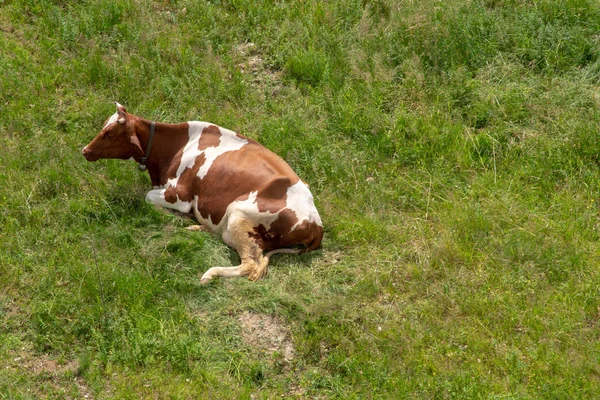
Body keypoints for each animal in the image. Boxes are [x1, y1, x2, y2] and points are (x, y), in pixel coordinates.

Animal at [83, 103, 324, 284]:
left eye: (109, 134)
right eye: (104, 126)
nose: (85, 150)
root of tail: (316, 222)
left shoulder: (179, 195)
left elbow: (147, 197)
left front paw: (177, 216)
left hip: (238, 214)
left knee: (249, 264)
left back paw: (210, 272)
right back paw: (197, 228)